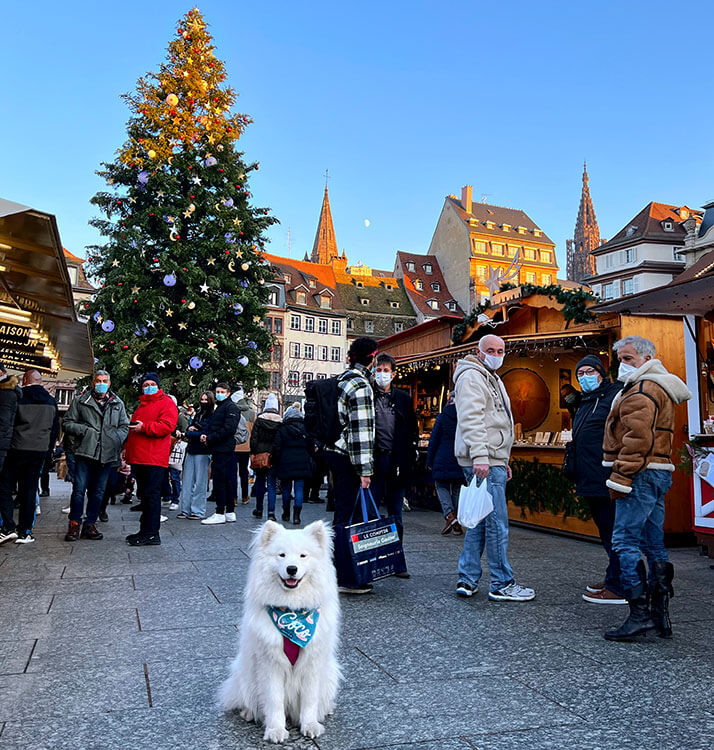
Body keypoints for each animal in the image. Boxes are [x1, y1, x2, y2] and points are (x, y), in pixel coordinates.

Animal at [218, 524, 340, 748]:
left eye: (303, 556)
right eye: (281, 555)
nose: (292, 569)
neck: (291, 611)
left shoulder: (312, 663)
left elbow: (310, 700)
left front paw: (310, 726)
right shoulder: (270, 665)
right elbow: (273, 701)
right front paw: (275, 730)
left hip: (331, 673)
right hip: (245, 674)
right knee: (247, 700)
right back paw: (248, 713)